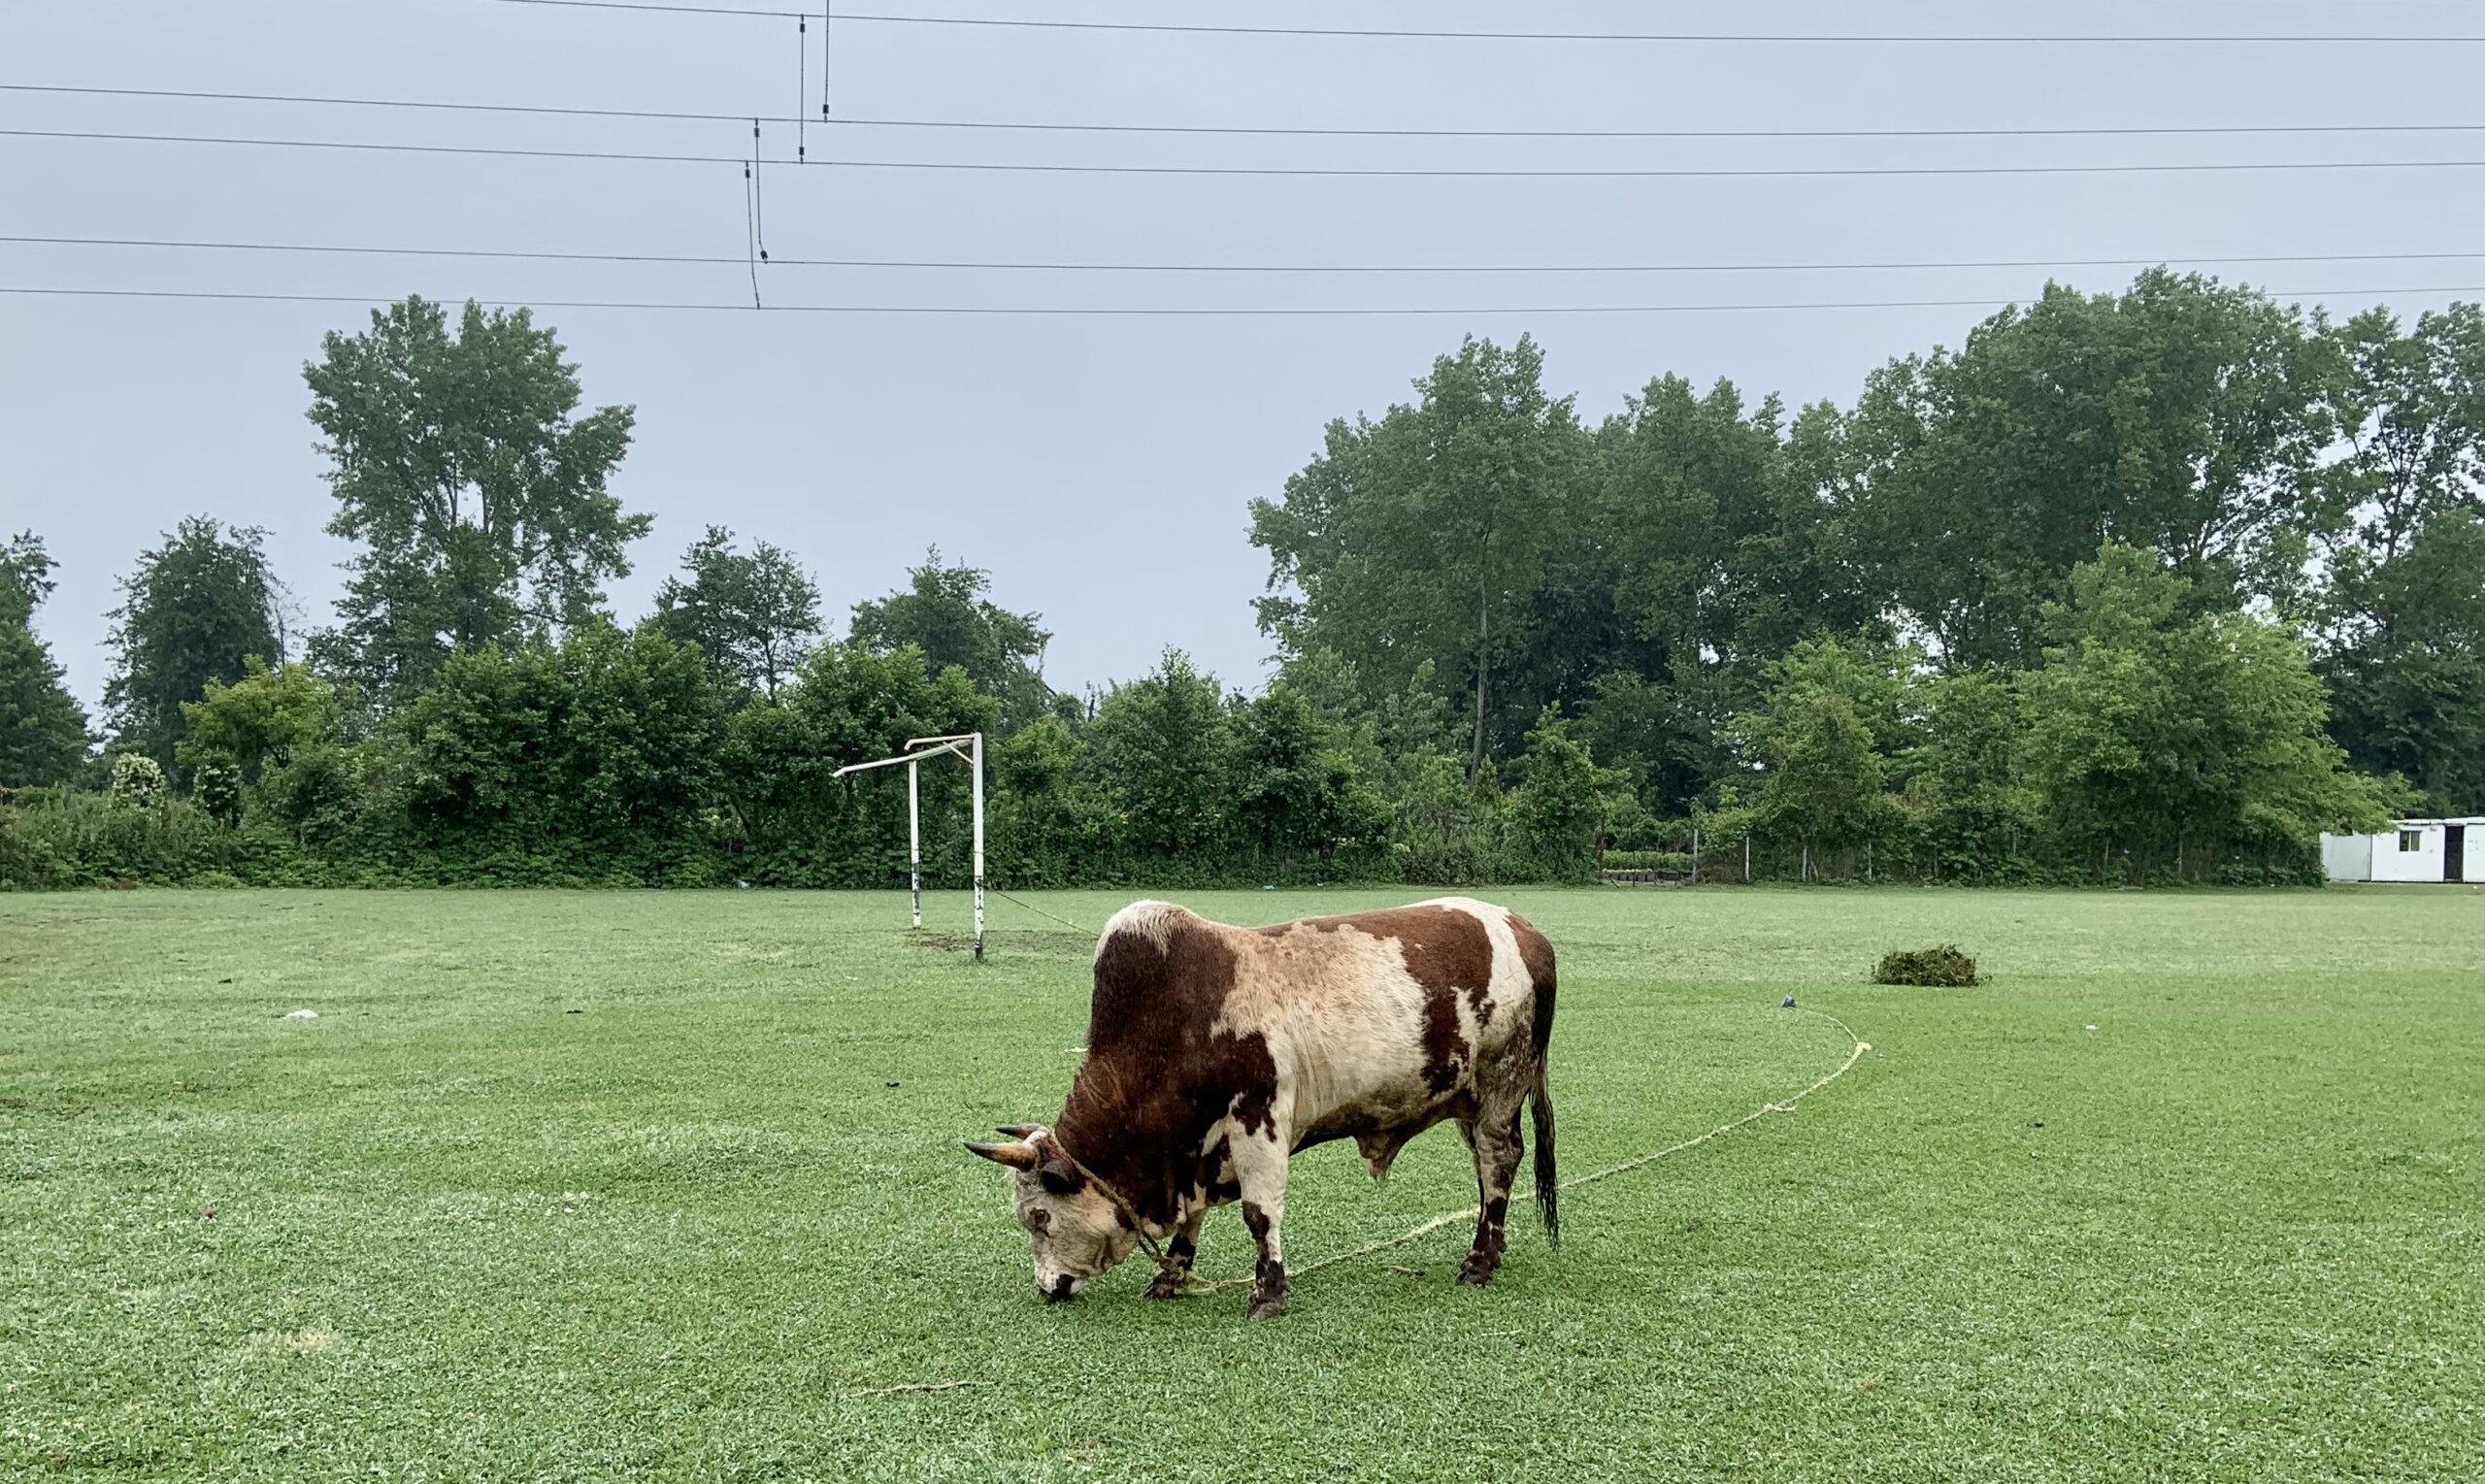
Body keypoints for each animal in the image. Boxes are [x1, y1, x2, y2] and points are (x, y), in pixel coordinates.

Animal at [964, 895, 1550, 1312]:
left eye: (1039, 1216)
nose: (1048, 1288)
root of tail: (1527, 932)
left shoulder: (1258, 1119)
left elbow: (1259, 1213)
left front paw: (1268, 1292)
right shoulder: (1197, 1155)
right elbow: (1194, 1222)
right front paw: (1170, 1276)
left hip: (1501, 1087)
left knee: (1498, 1162)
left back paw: (1479, 1262)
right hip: (1470, 1102)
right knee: (1486, 1170)